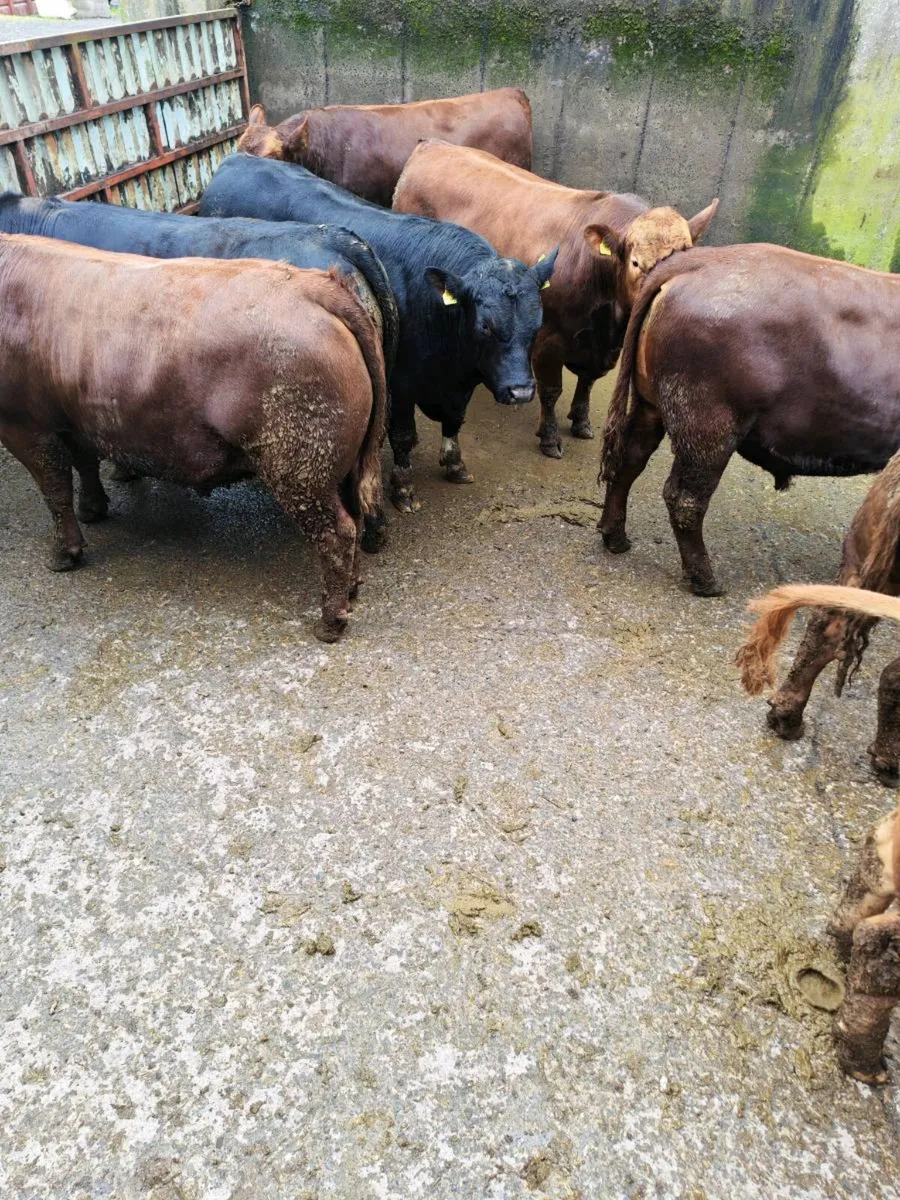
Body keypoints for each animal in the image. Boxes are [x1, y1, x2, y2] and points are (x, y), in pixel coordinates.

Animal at [0, 234, 387, 643]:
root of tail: (317, 285)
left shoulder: (22, 423)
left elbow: (55, 490)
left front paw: (63, 555)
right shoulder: (74, 419)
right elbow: (84, 464)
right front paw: (93, 510)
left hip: (298, 464)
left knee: (336, 533)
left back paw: (329, 623)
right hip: (338, 462)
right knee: (354, 515)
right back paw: (352, 591)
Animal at [200, 153, 557, 525]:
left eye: (538, 322)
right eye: (486, 325)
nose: (521, 391)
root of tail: (238, 158)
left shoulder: (460, 385)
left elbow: (454, 422)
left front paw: (455, 464)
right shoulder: (400, 383)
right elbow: (404, 437)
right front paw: (403, 489)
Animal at [392, 139, 718, 458]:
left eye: (686, 258)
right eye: (636, 263)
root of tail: (432, 144)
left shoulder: (600, 348)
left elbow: (587, 382)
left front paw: (581, 421)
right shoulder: (548, 338)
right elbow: (550, 391)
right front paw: (549, 437)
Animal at [598, 244, 900, 596]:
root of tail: (698, 260)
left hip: (651, 408)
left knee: (628, 462)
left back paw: (615, 537)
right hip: (710, 429)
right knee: (685, 499)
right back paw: (705, 580)